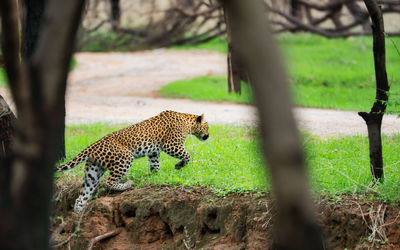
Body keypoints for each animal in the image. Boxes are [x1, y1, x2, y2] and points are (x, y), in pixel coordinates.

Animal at [55, 110, 209, 212]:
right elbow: (187, 155)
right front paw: (179, 165)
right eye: (207, 127)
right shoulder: (171, 145)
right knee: (109, 181)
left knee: (82, 195)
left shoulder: (154, 152)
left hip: (92, 171)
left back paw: (78, 213)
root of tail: (93, 145)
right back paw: (127, 184)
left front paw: (157, 176)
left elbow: (155, 164)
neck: (186, 120)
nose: (208, 136)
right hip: (125, 158)